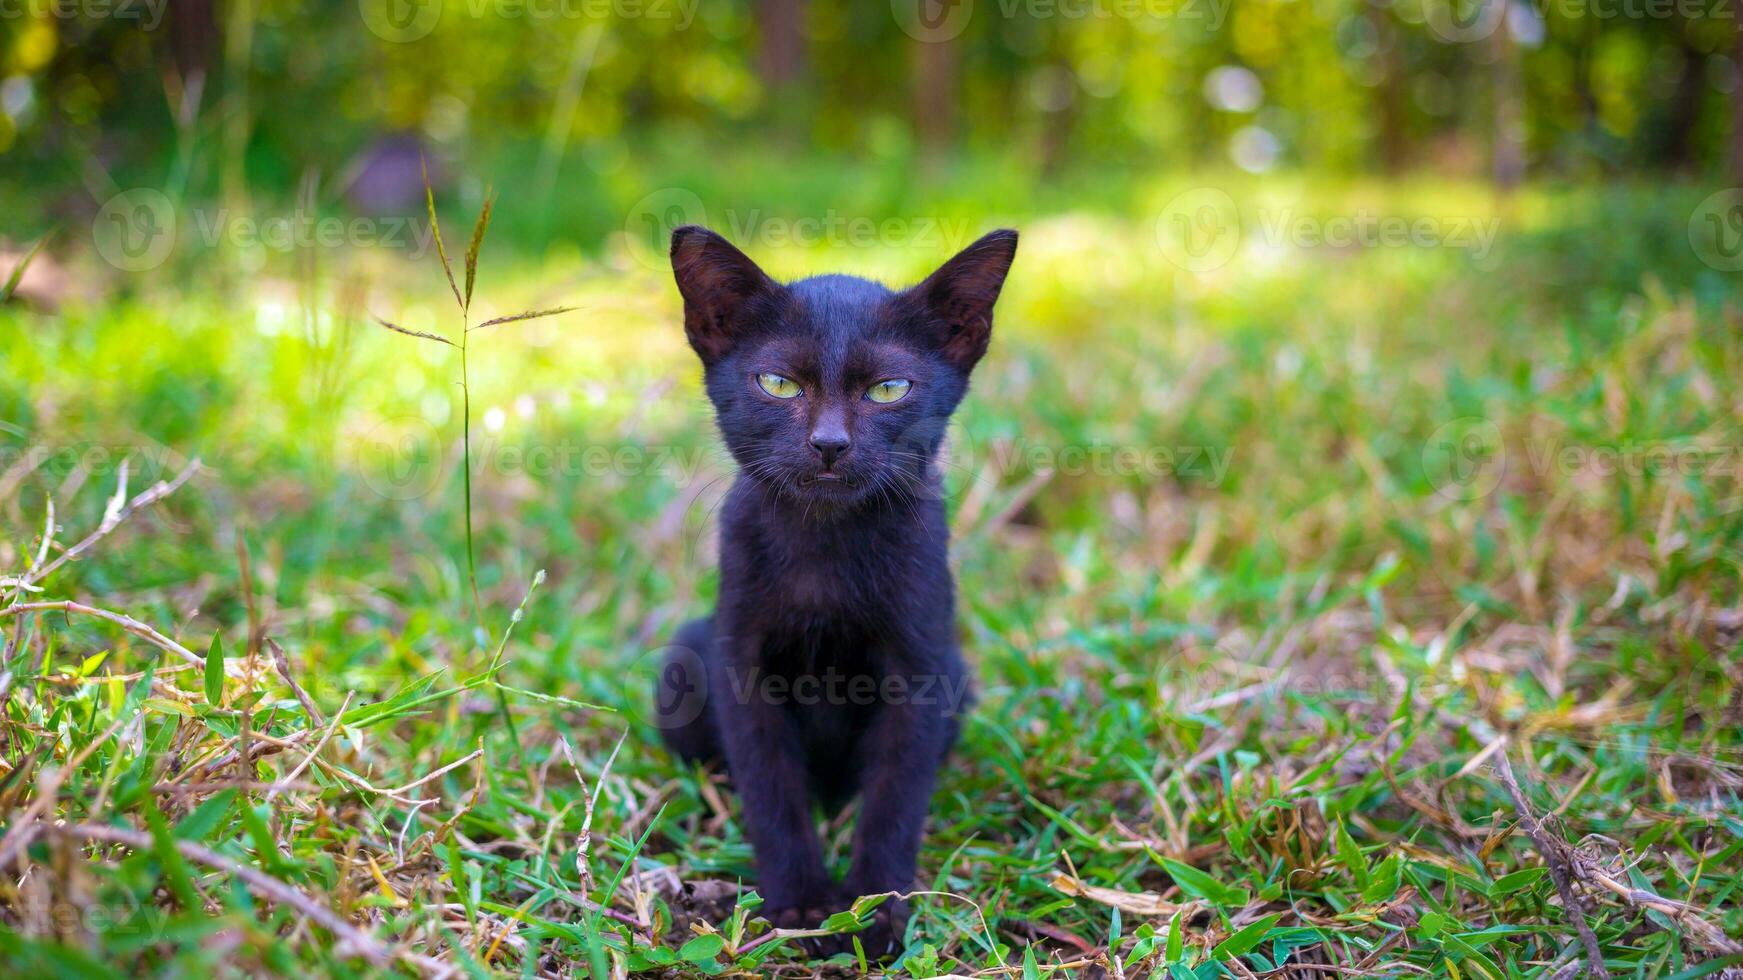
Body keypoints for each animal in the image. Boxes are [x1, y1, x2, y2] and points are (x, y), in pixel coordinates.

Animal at [655, 224, 1017, 948]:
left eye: (888, 389)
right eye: (777, 384)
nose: (829, 444)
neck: (824, 545)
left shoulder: (920, 669)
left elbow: (896, 797)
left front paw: (875, 914)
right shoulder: (740, 660)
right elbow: (769, 786)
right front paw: (798, 903)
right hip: (682, 669)